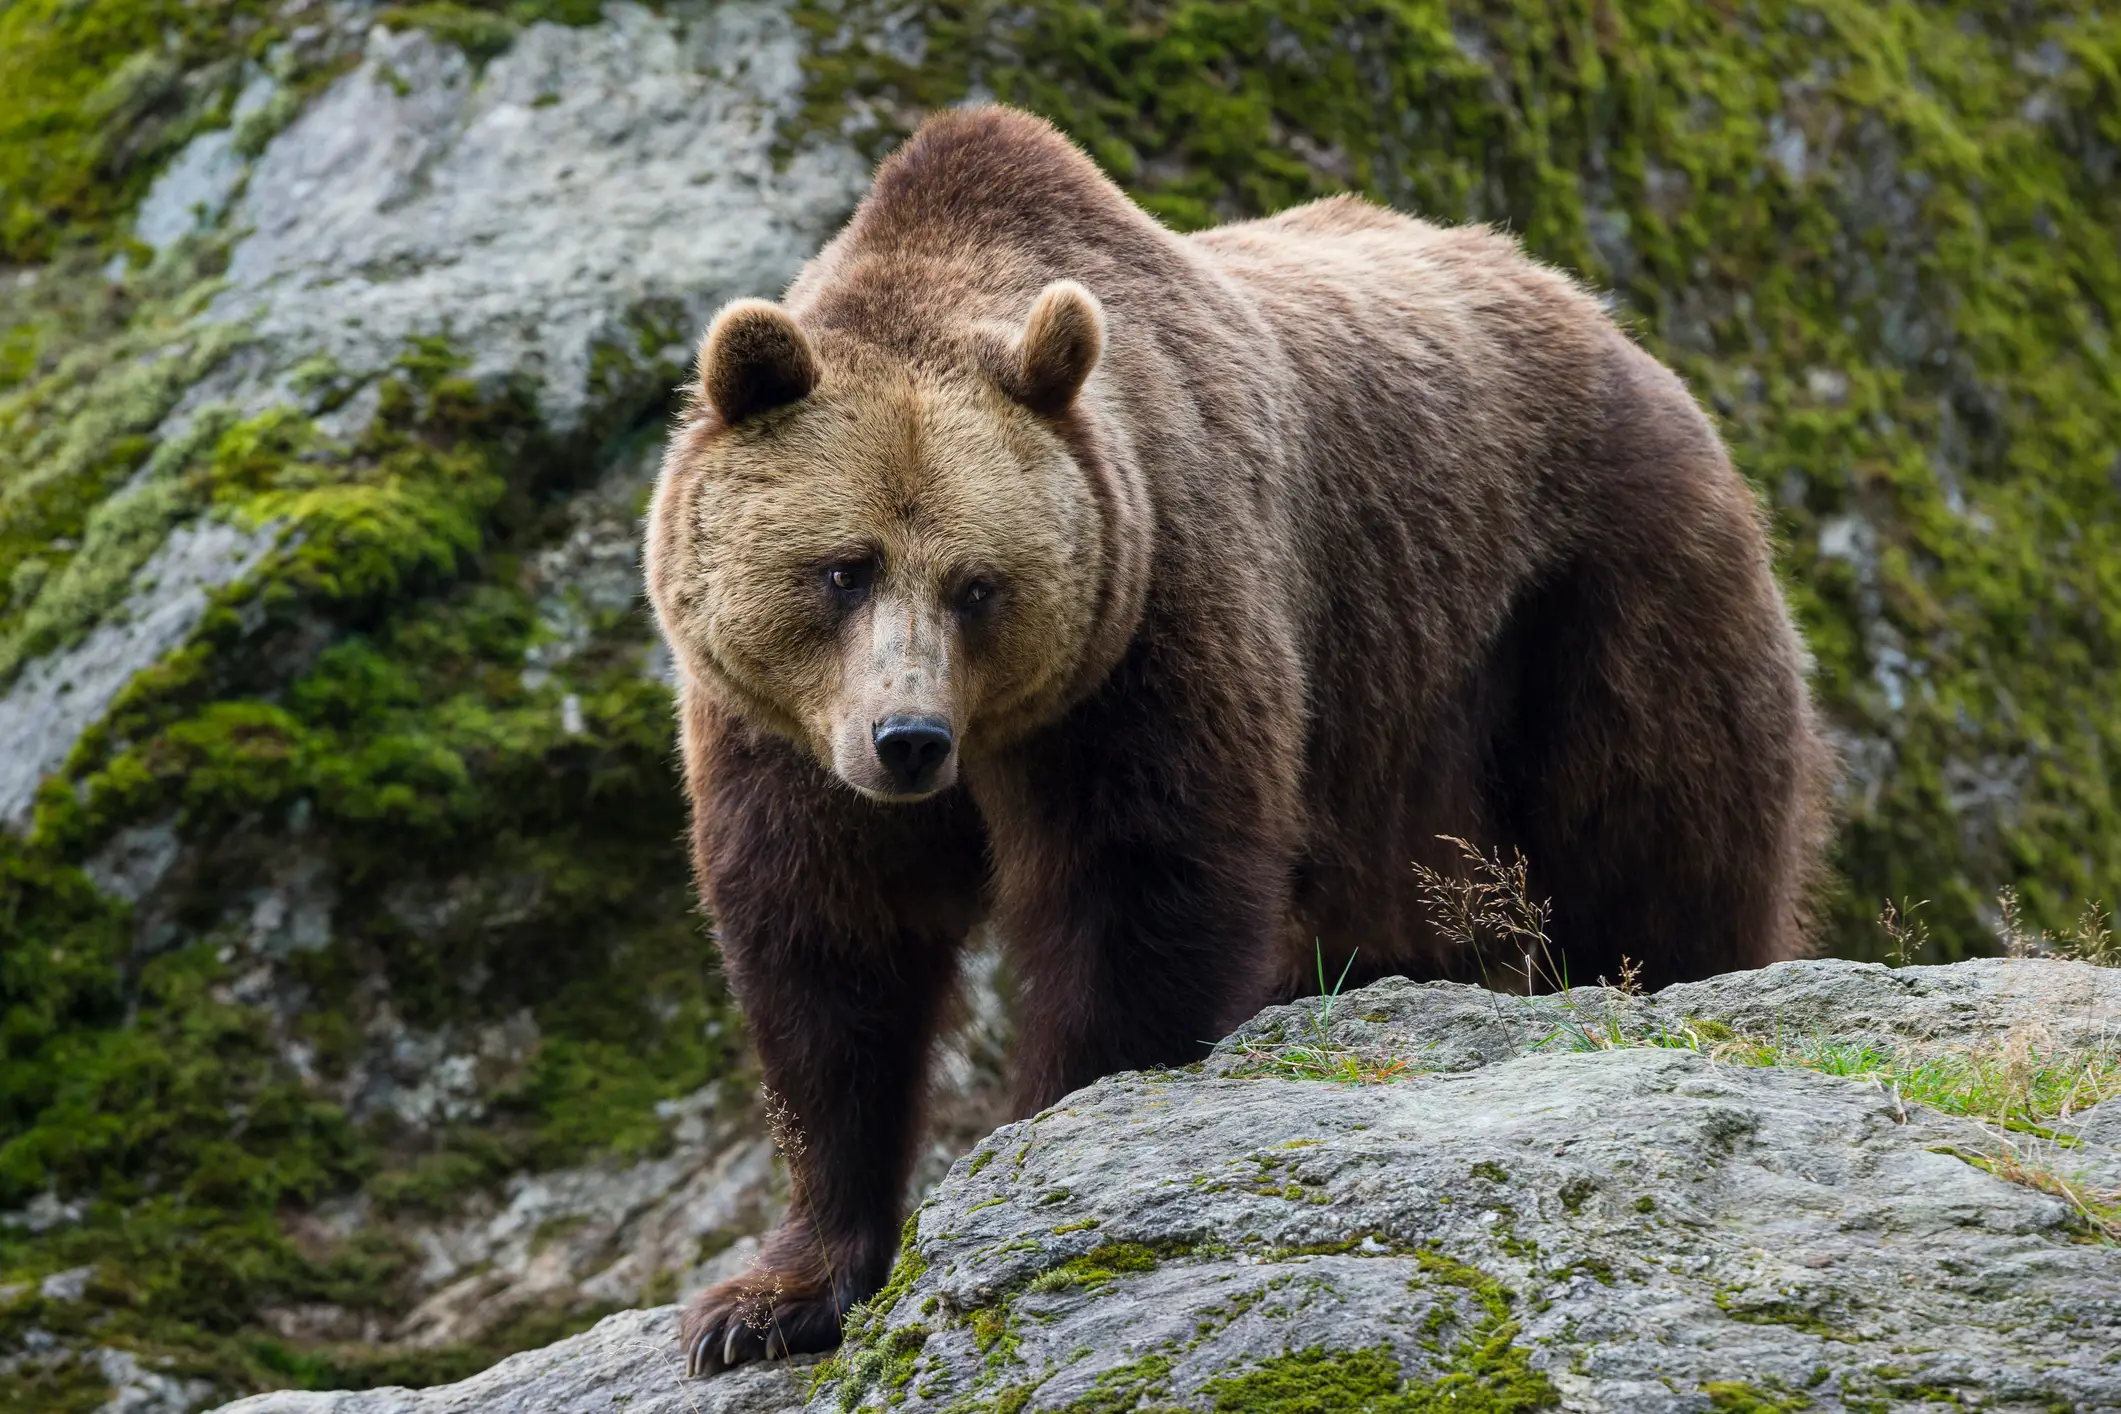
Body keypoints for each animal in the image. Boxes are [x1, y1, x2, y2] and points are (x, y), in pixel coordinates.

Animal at [644, 105, 1831, 1374]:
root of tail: (1612, 324)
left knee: (1660, 845)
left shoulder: (1158, 609)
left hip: (1588, 597)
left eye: (978, 585)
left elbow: (1143, 885)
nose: (907, 739)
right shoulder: (781, 732)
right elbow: (828, 952)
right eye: (842, 568)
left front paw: (1048, 1135)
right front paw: (767, 1298)